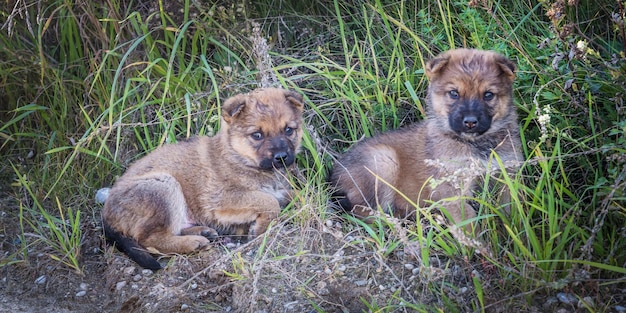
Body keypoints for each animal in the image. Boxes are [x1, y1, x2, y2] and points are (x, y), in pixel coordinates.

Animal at [103, 88, 304, 268]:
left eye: (288, 130)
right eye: (257, 135)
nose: (281, 157)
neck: (238, 158)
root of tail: (106, 216)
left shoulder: (278, 190)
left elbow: (296, 195)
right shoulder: (222, 199)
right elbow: (268, 201)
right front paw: (261, 227)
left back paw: (203, 231)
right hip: (163, 186)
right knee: (150, 239)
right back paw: (193, 242)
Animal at [332, 48, 520, 229]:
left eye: (488, 95)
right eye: (454, 93)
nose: (470, 122)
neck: (476, 145)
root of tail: (333, 175)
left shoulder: (506, 174)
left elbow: (510, 209)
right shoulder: (450, 186)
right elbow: (468, 221)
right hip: (383, 160)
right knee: (361, 211)